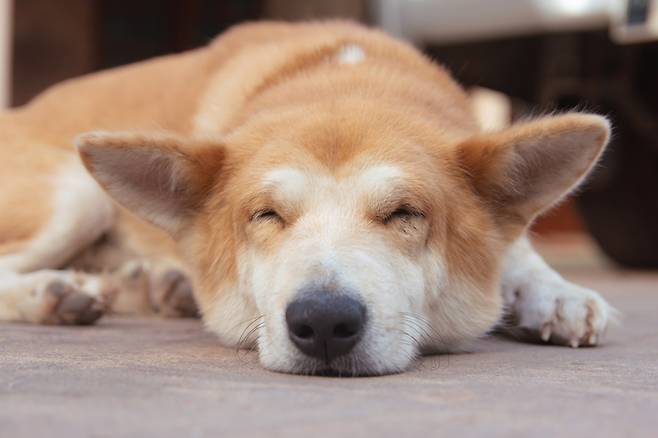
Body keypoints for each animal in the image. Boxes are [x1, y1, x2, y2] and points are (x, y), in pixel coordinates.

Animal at [0, 21, 614, 375]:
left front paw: (554, 295)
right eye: (265, 215)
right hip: (76, 195)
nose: (322, 322)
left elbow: (520, 251)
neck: (344, 78)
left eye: (405, 214)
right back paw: (52, 292)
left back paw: (153, 284)